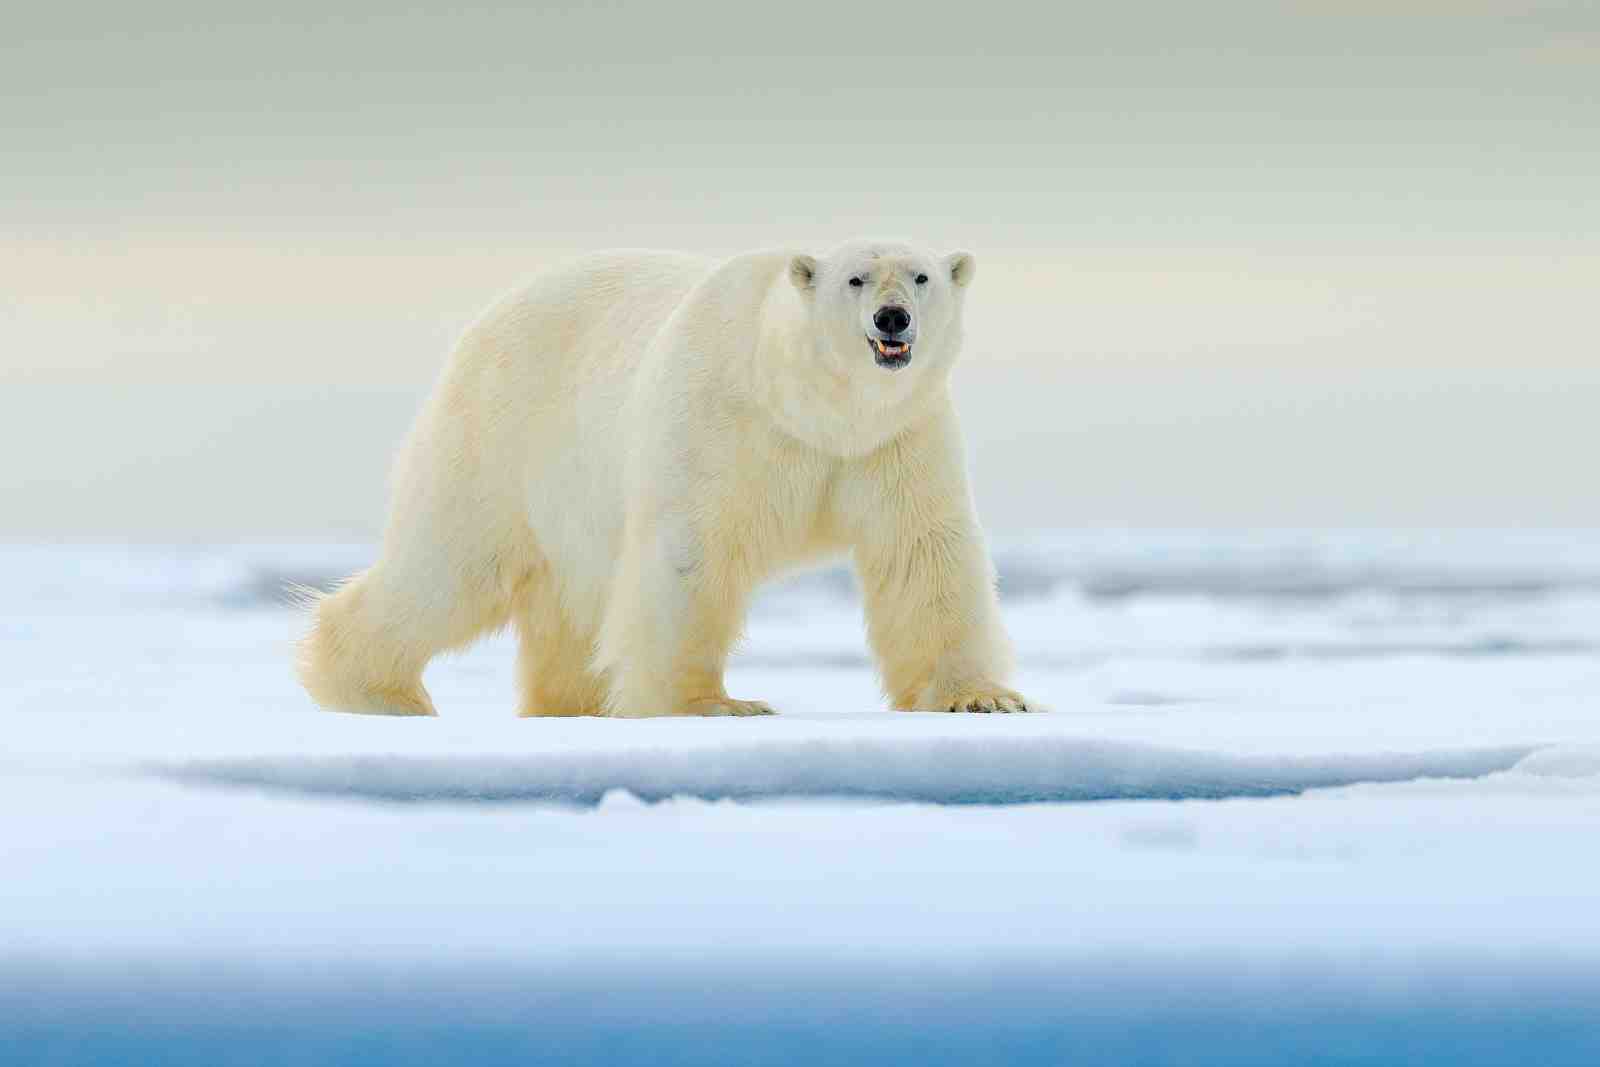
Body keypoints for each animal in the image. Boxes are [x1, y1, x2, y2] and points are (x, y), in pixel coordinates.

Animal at [297, 240, 1036, 718]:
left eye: (920, 276)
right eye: (856, 279)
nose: (892, 318)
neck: (810, 407)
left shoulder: (892, 440)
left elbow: (923, 551)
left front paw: (983, 697)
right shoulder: (720, 422)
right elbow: (691, 554)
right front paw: (712, 703)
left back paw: (573, 702)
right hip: (501, 437)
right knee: (449, 565)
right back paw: (376, 691)